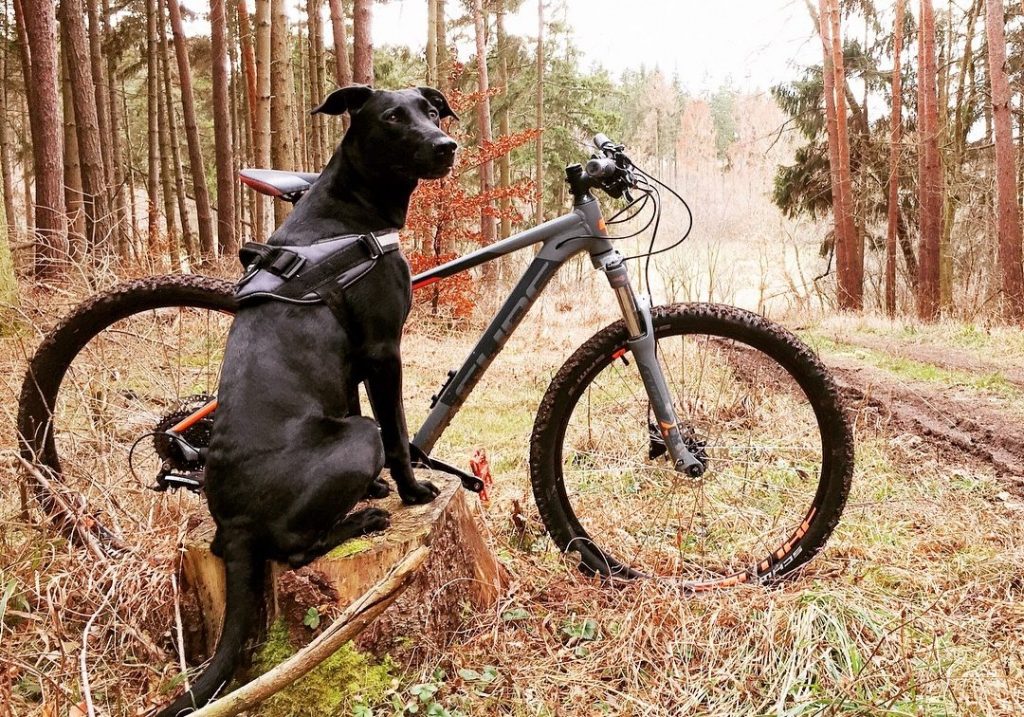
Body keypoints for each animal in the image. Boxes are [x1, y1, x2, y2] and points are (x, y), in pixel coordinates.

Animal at [157, 85, 458, 717]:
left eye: (430, 111)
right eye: (392, 117)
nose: (447, 145)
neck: (348, 211)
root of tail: (235, 526)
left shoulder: (351, 366)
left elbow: (353, 400)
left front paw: (377, 488)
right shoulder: (382, 350)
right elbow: (398, 435)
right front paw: (410, 492)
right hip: (356, 439)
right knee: (296, 551)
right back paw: (364, 518)